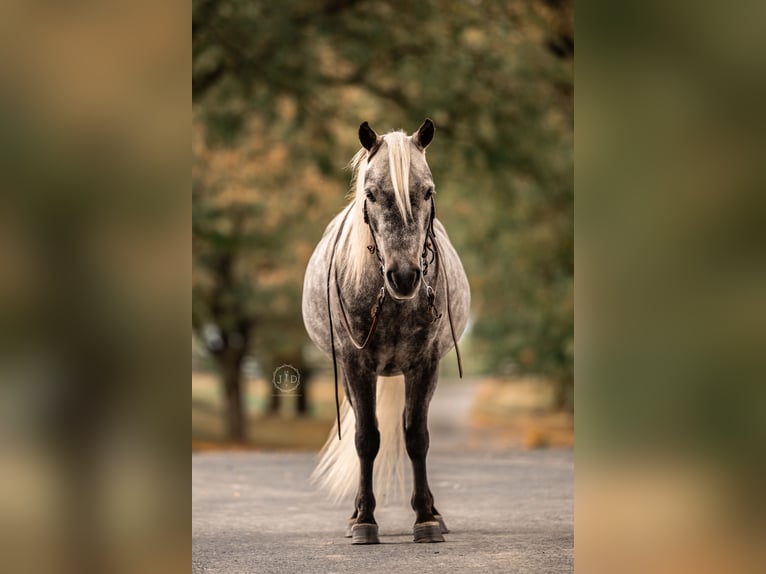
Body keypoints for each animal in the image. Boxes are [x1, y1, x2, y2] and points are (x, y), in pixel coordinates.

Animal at [302, 119, 470, 544]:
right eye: (371, 194)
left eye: (427, 191)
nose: (405, 275)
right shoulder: (356, 366)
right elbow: (366, 439)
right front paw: (364, 520)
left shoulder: (424, 365)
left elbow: (416, 437)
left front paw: (426, 518)